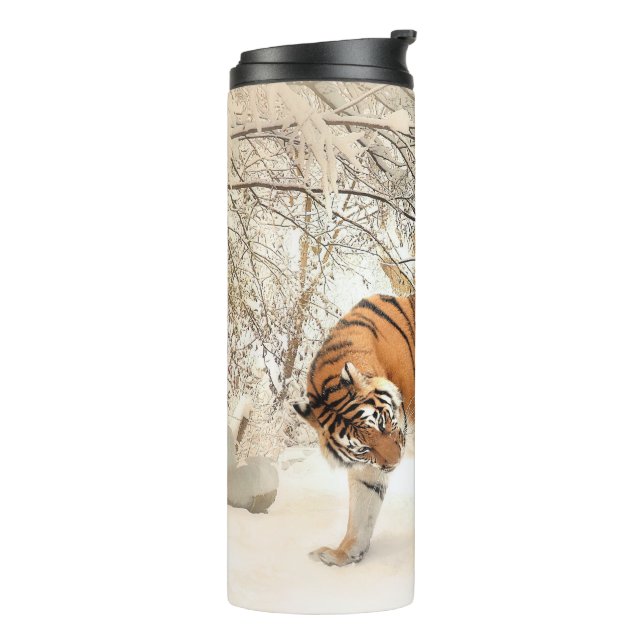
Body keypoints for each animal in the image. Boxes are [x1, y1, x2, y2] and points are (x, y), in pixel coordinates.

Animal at [293, 294, 415, 566]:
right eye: (362, 449)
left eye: (382, 423)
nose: (395, 462)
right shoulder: (368, 467)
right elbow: (362, 508)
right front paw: (342, 554)